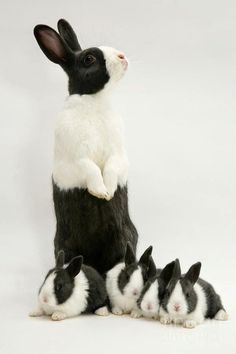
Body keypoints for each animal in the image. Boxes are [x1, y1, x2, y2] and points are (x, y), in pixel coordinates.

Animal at [34, 19, 139, 272]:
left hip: (124, 238)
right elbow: (89, 168)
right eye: (89, 58)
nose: (122, 56)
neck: (93, 102)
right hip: (65, 245)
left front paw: (108, 191)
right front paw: (99, 191)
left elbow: (111, 167)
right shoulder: (74, 158)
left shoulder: (118, 155)